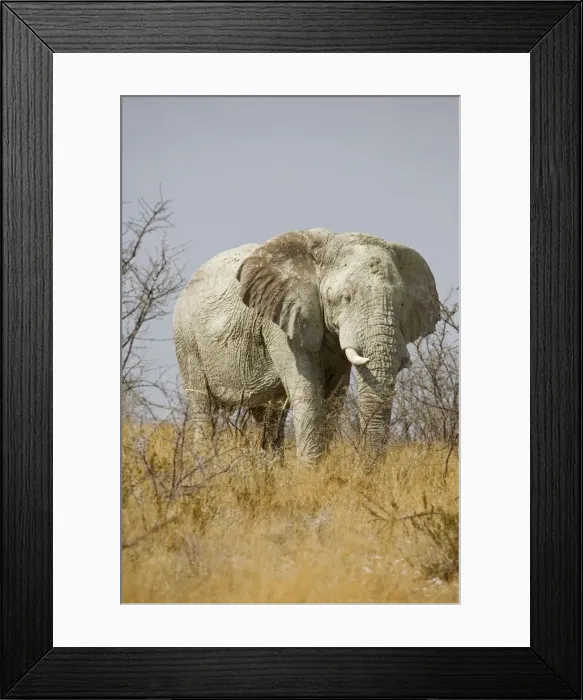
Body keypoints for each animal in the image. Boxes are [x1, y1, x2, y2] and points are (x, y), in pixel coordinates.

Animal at [173, 228, 439, 463]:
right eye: (344, 298)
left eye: (402, 303)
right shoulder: (282, 321)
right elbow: (307, 391)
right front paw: (311, 470)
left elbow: (334, 398)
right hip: (186, 340)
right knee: (203, 406)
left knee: (268, 416)